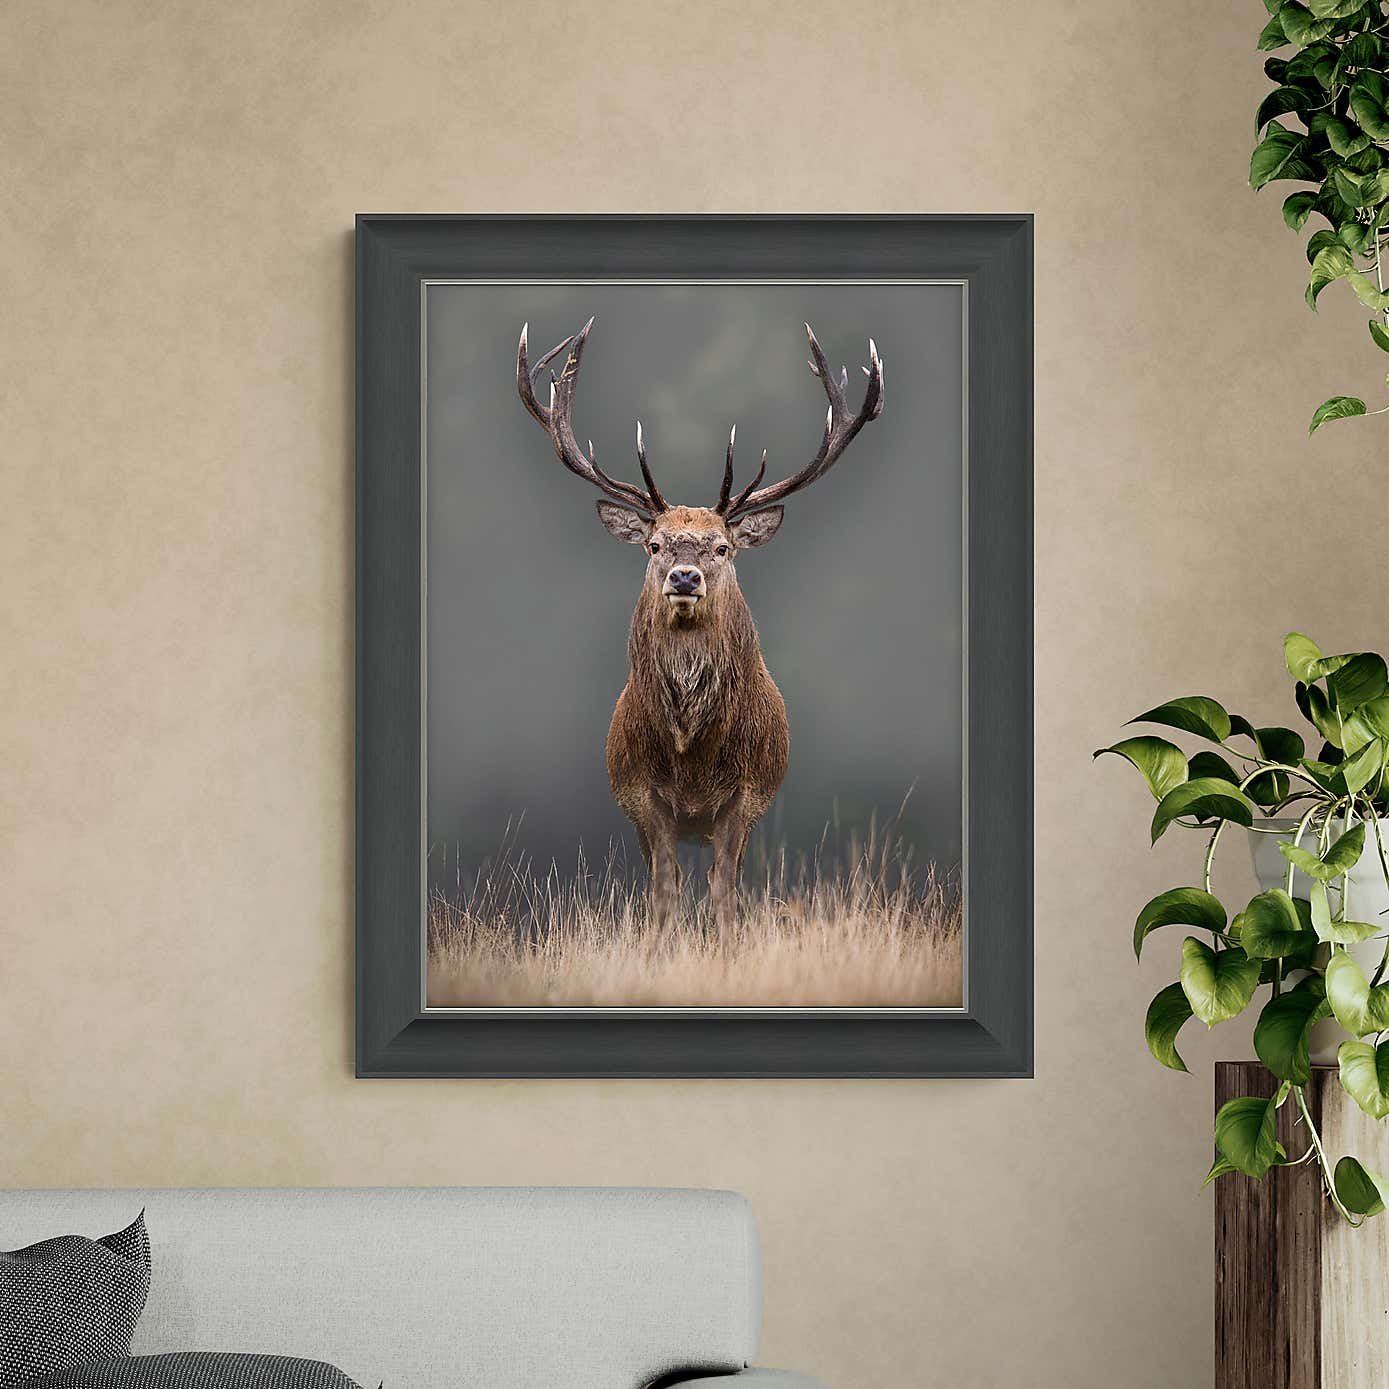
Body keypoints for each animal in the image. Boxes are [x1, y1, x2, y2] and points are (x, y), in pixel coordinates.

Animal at [515, 317, 884, 933]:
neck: (692, 756)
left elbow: (724, 895)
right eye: (655, 544)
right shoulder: (642, 795)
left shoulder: (748, 795)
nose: (685, 577)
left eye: (722, 547)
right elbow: (665, 894)